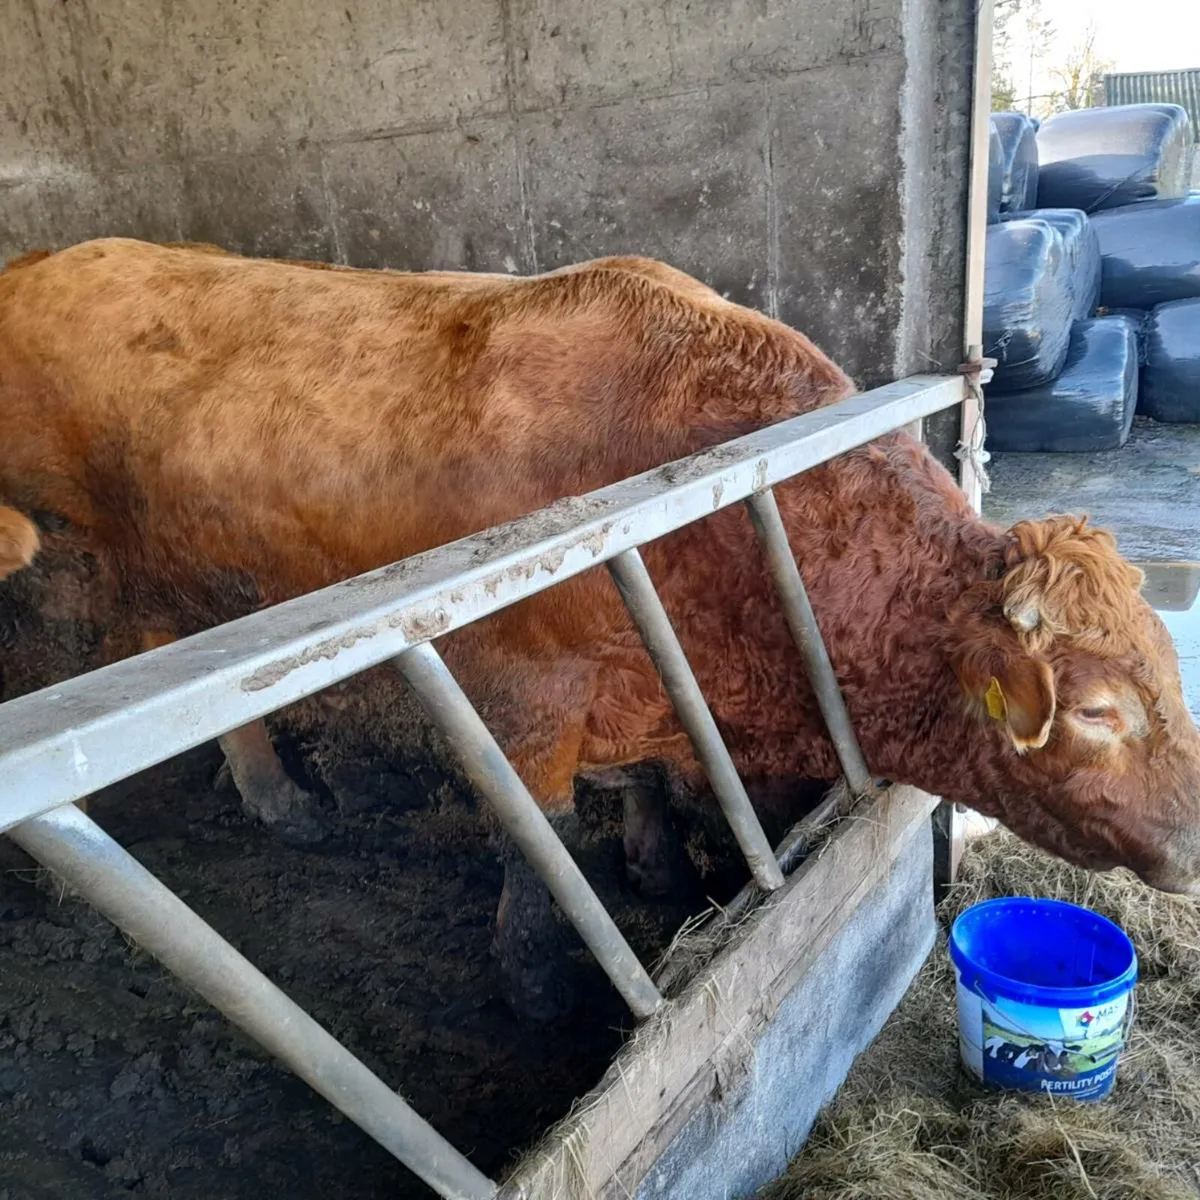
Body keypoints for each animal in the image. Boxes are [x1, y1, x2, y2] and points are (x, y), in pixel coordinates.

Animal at [3, 238, 1200, 1021]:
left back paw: (271, 791)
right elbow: (538, 846)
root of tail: (53, 257)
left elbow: (645, 787)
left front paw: (657, 866)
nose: (1194, 841)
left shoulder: (648, 683)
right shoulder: (520, 697)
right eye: (1100, 712)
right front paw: (538, 980)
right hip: (91, 553)